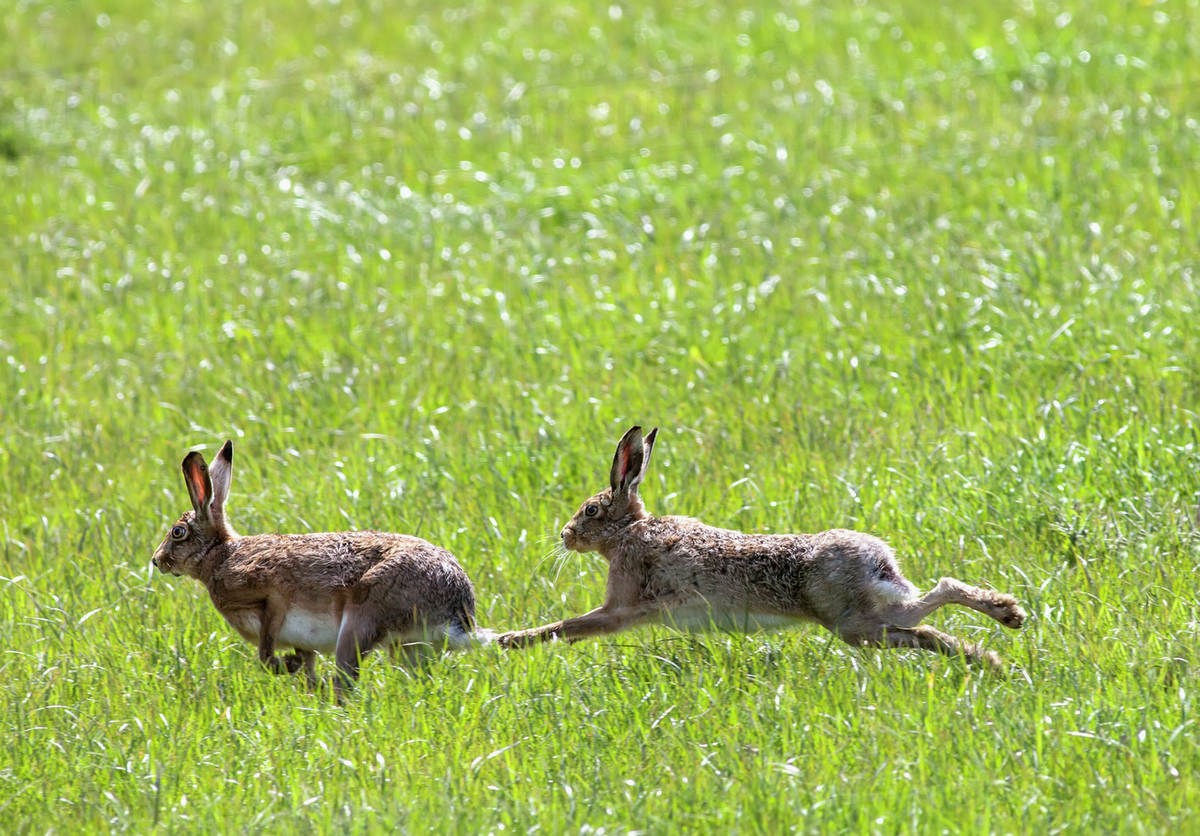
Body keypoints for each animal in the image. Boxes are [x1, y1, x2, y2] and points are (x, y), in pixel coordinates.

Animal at [152, 440, 487, 694]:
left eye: (178, 532)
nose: (156, 560)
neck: (220, 556)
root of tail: (458, 613)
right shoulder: (303, 641)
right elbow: (305, 663)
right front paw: (302, 674)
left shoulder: (270, 595)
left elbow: (266, 652)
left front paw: (287, 666)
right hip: (407, 647)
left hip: (360, 621)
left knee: (346, 679)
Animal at [498, 425, 1025, 668]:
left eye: (590, 510)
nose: (565, 535)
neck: (630, 531)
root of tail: (878, 560)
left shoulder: (621, 608)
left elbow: (571, 626)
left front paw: (508, 641)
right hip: (865, 615)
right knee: (929, 615)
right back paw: (996, 640)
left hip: (850, 622)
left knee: (923, 623)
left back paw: (995, 641)